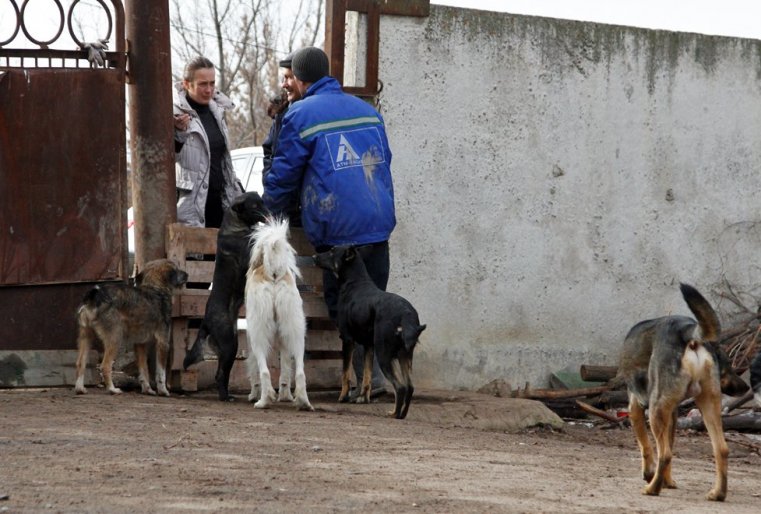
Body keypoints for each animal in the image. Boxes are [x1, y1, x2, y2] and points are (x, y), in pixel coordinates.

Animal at [72, 258, 189, 394]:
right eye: (177, 269)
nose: (187, 274)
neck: (156, 288)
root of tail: (95, 295)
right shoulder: (163, 342)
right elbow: (161, 373)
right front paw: (163, 391)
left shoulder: (140, 344)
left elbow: (144, 370)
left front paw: (147, 389)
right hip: (116, 338)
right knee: (105, 365)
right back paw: (112, 389)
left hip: (86, 337)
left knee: (80, 363)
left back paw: (80, 388)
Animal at [183, 190, 268, 398]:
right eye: (255, 206)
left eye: (262, 202)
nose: (268, 212)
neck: (236, 227)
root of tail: (205, 321)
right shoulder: (247, 258)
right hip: (229, 344)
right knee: (220, 374)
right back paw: (225, 397)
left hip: (230, 345)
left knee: (221, 372)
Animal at [246, 215, 312, 408]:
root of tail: (273, 272)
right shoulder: (284, 340)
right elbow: (285, 370)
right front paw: (285, 396)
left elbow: (254, 367)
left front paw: (254, 394)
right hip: (295, 330)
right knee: (300, 371)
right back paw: (303, 402)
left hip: (258, 335)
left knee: (264, 371)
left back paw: (263, 401)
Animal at [312, 244, 424, 416]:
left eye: (331, 252)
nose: (313, 257)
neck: (355, 281)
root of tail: (406, 312)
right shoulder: (368, 345)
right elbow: (367, 374)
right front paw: (364, 398)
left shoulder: (347, 339)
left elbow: (345, 373)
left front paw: (343, 397)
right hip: (404, 355)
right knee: (410, 387)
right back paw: (401, 414)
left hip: (384, 353)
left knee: (400, 387)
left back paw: (394, 415)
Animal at [616, 282, 748, 498]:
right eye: (728, 369)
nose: (746, 387)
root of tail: (688, 331)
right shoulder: (672, 413)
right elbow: (667, 443)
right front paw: (668, 481)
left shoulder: (635, 408)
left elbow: (646, 446)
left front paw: (650, 474)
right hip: (708, 405)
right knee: (721, 449)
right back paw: (717, 493)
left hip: (656, 409)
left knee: (665, 454)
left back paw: (652, 489)